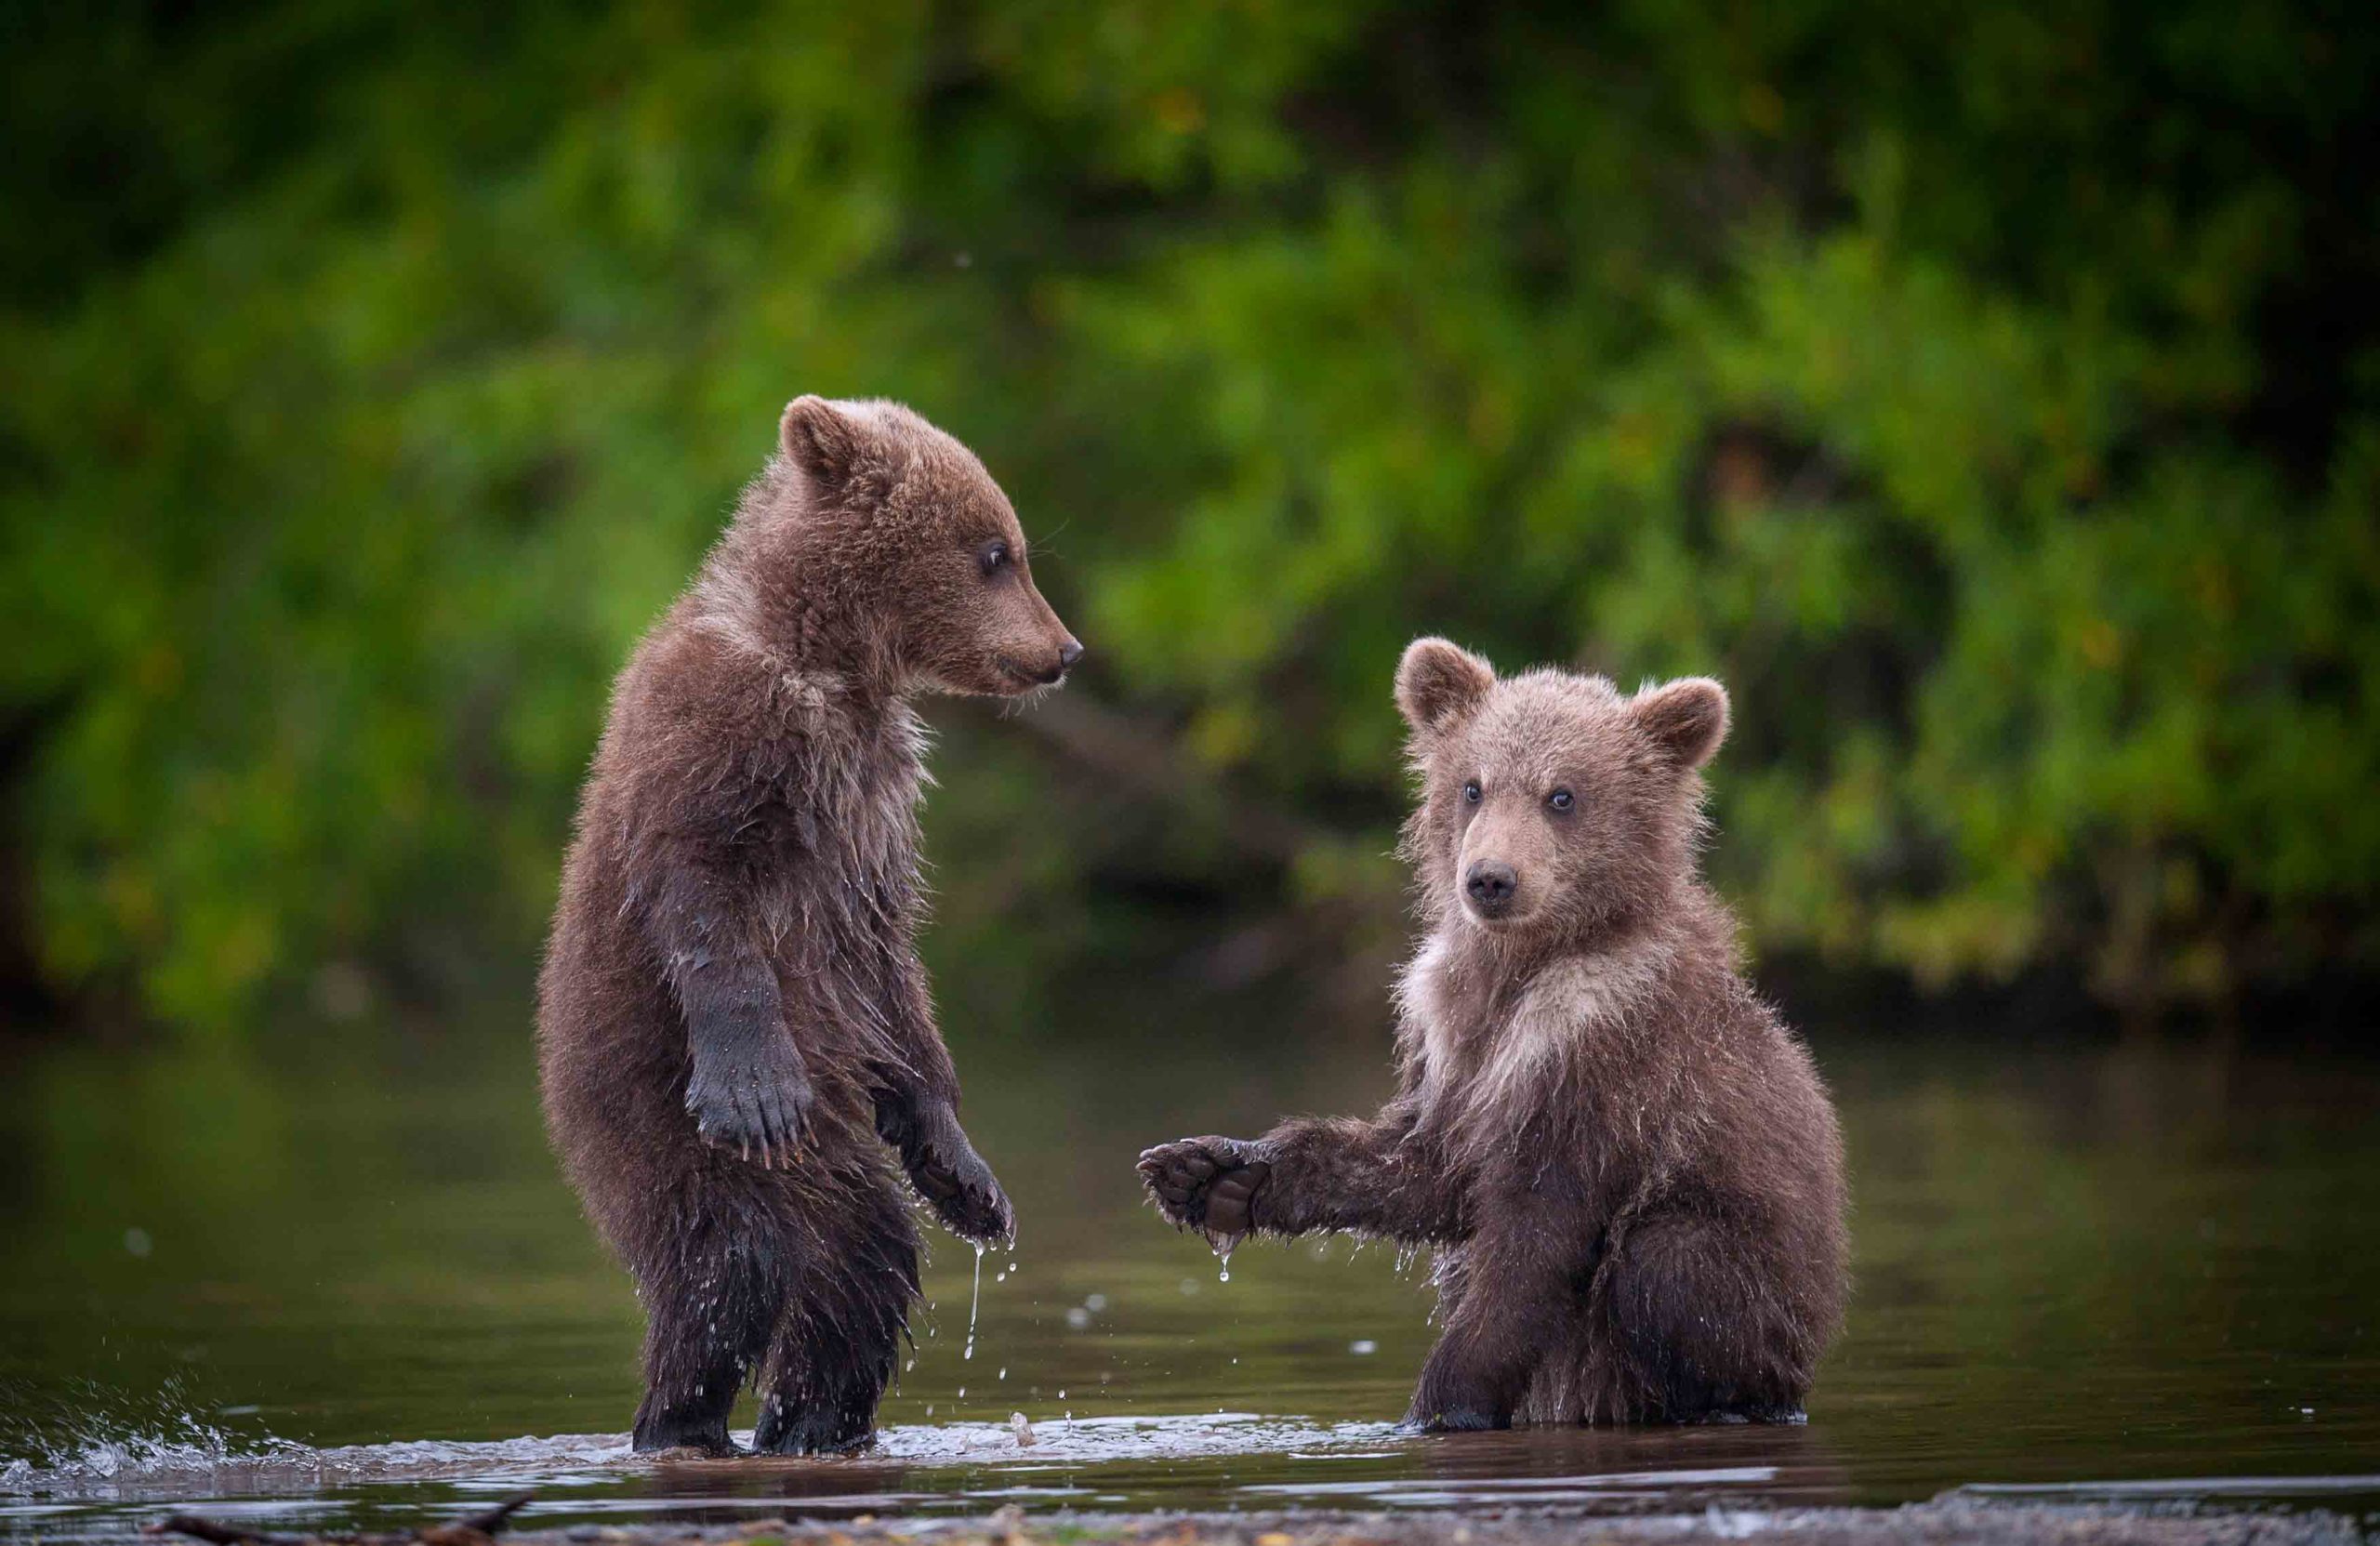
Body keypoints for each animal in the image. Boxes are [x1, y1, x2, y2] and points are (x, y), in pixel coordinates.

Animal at [538, 396, 1081, 1456]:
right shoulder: (715, 739)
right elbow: (701, 891)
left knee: (859, 1253)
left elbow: (893, 978)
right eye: (995, 552)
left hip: (832, 1148)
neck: (829, 665)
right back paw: (680, 1415)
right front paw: (756, 1086)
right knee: (731, 1254)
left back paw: (811, 1418)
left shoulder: (875, 813)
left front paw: (967, 1175)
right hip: (640, 1107)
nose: (1065, 650)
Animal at [1139, 638, 1847, 1430]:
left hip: (1764, 1286)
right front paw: (1216, 1173)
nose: (1490, 878)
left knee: (1669, 1263)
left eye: (1562, 794)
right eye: (1473, 786)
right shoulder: (1449, 1035)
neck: (1520, 970)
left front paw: (1440, 1405)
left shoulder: (1603, 1054)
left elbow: (1531, 1242)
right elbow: (1425, 1168)